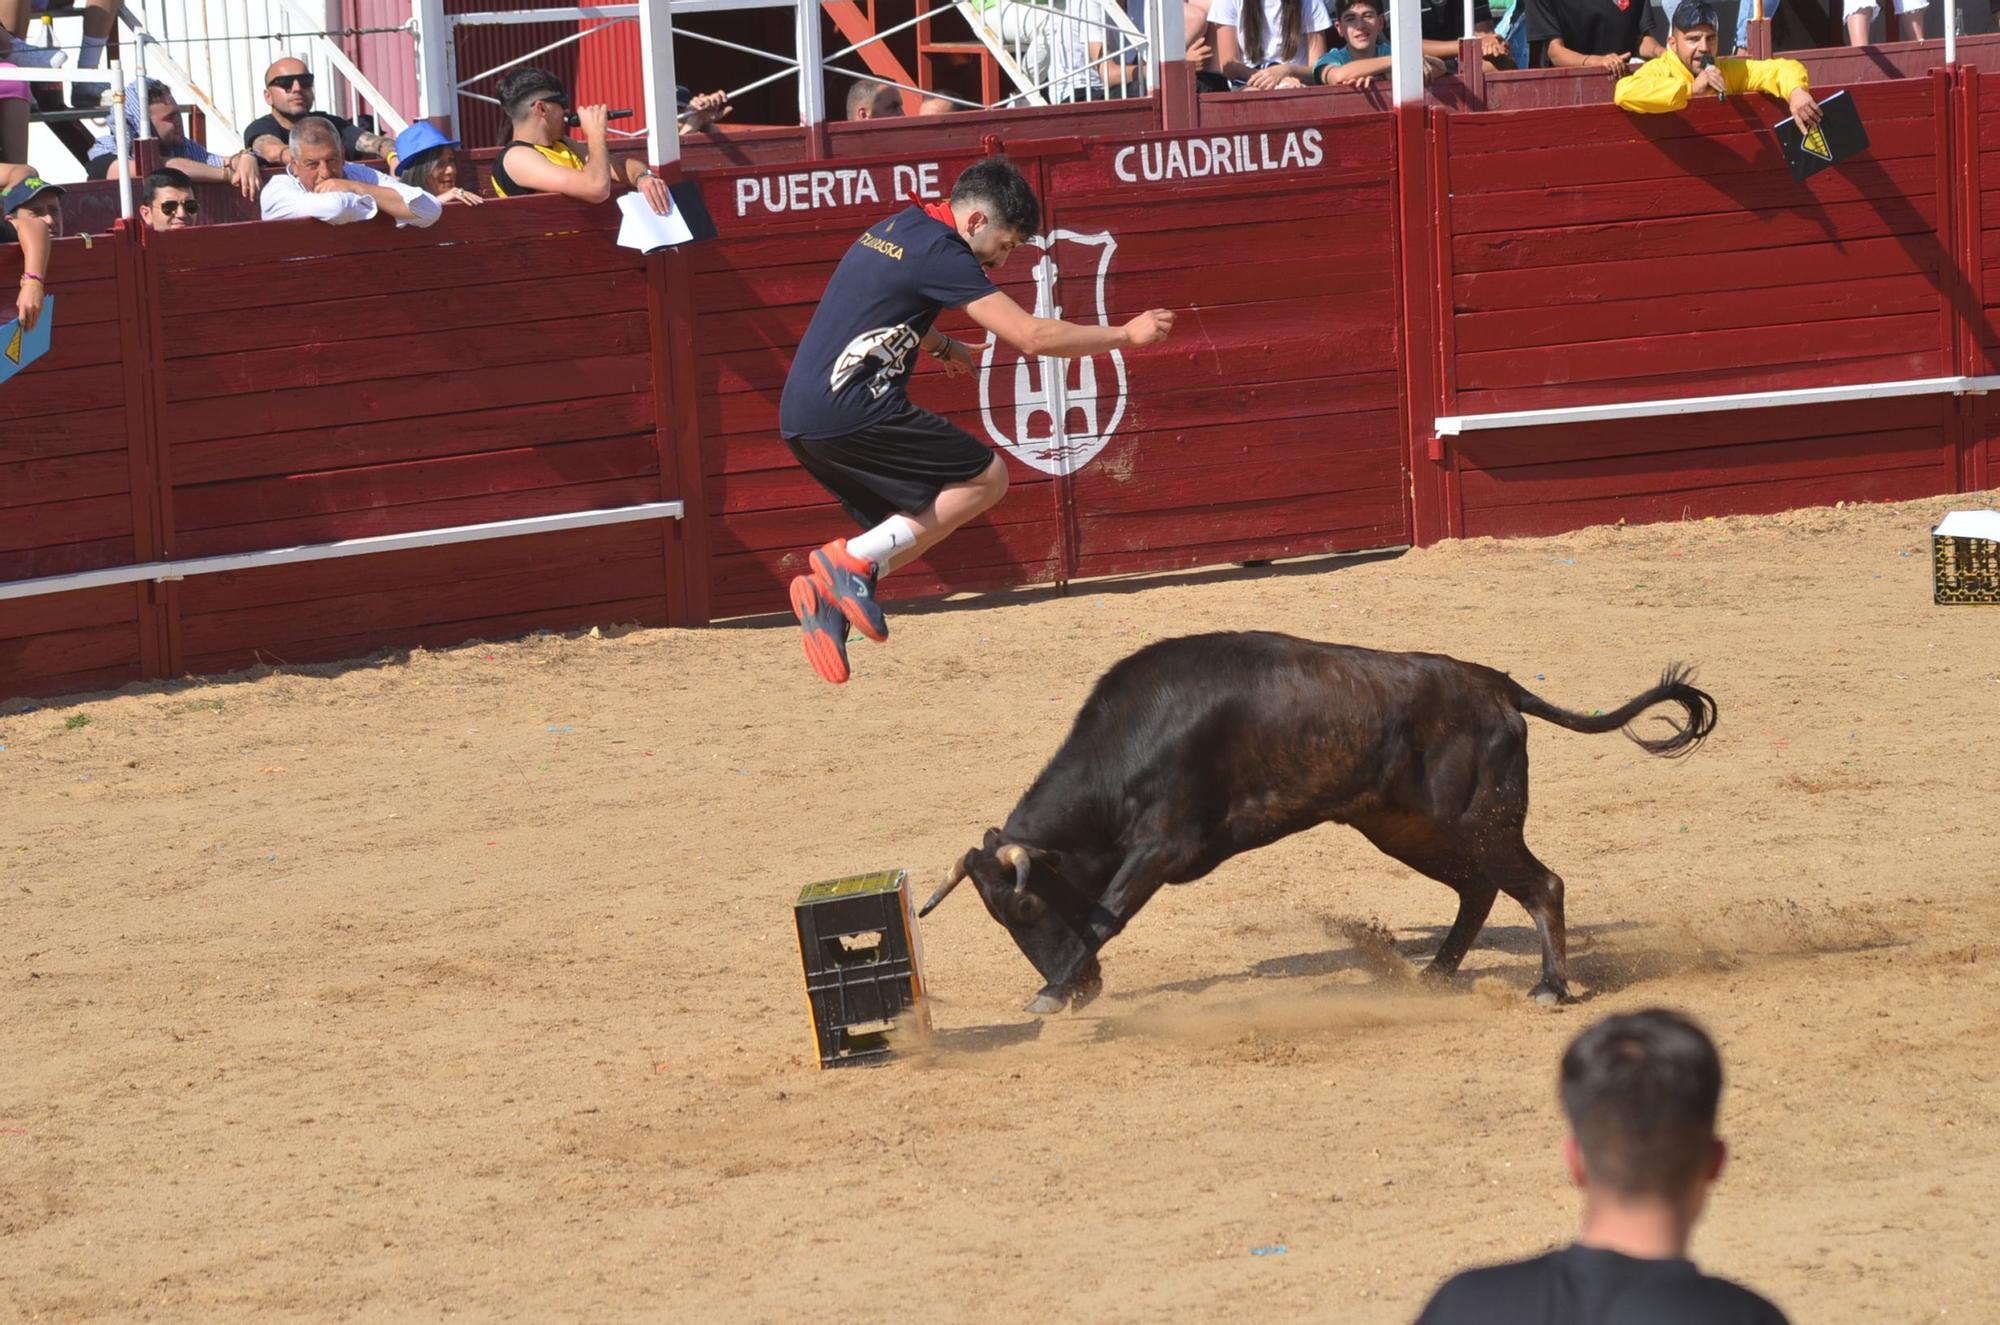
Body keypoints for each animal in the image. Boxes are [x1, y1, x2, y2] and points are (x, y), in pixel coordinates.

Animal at [920, 632, 1720, 1016]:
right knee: (1478, 890)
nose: (1085, 988)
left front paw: (1050, 994)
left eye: (1025, 905)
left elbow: (1104, 915)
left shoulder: (1161, 845)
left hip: (1479, 821)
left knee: (1540, 884)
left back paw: (1551, 987)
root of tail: (1495, 684)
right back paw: (1433, 975)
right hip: (1405, 826)